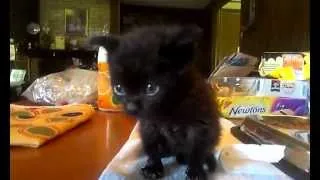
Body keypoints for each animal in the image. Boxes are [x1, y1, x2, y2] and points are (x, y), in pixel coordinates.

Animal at [89, 25, 221, 180]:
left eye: (151, 88)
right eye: (119, 88)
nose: (131, 107)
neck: (167, 108)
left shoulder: (201, 123)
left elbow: (198, 149)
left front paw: (196, 171)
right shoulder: (148, 125)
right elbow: (151, 146)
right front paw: (153, 166)